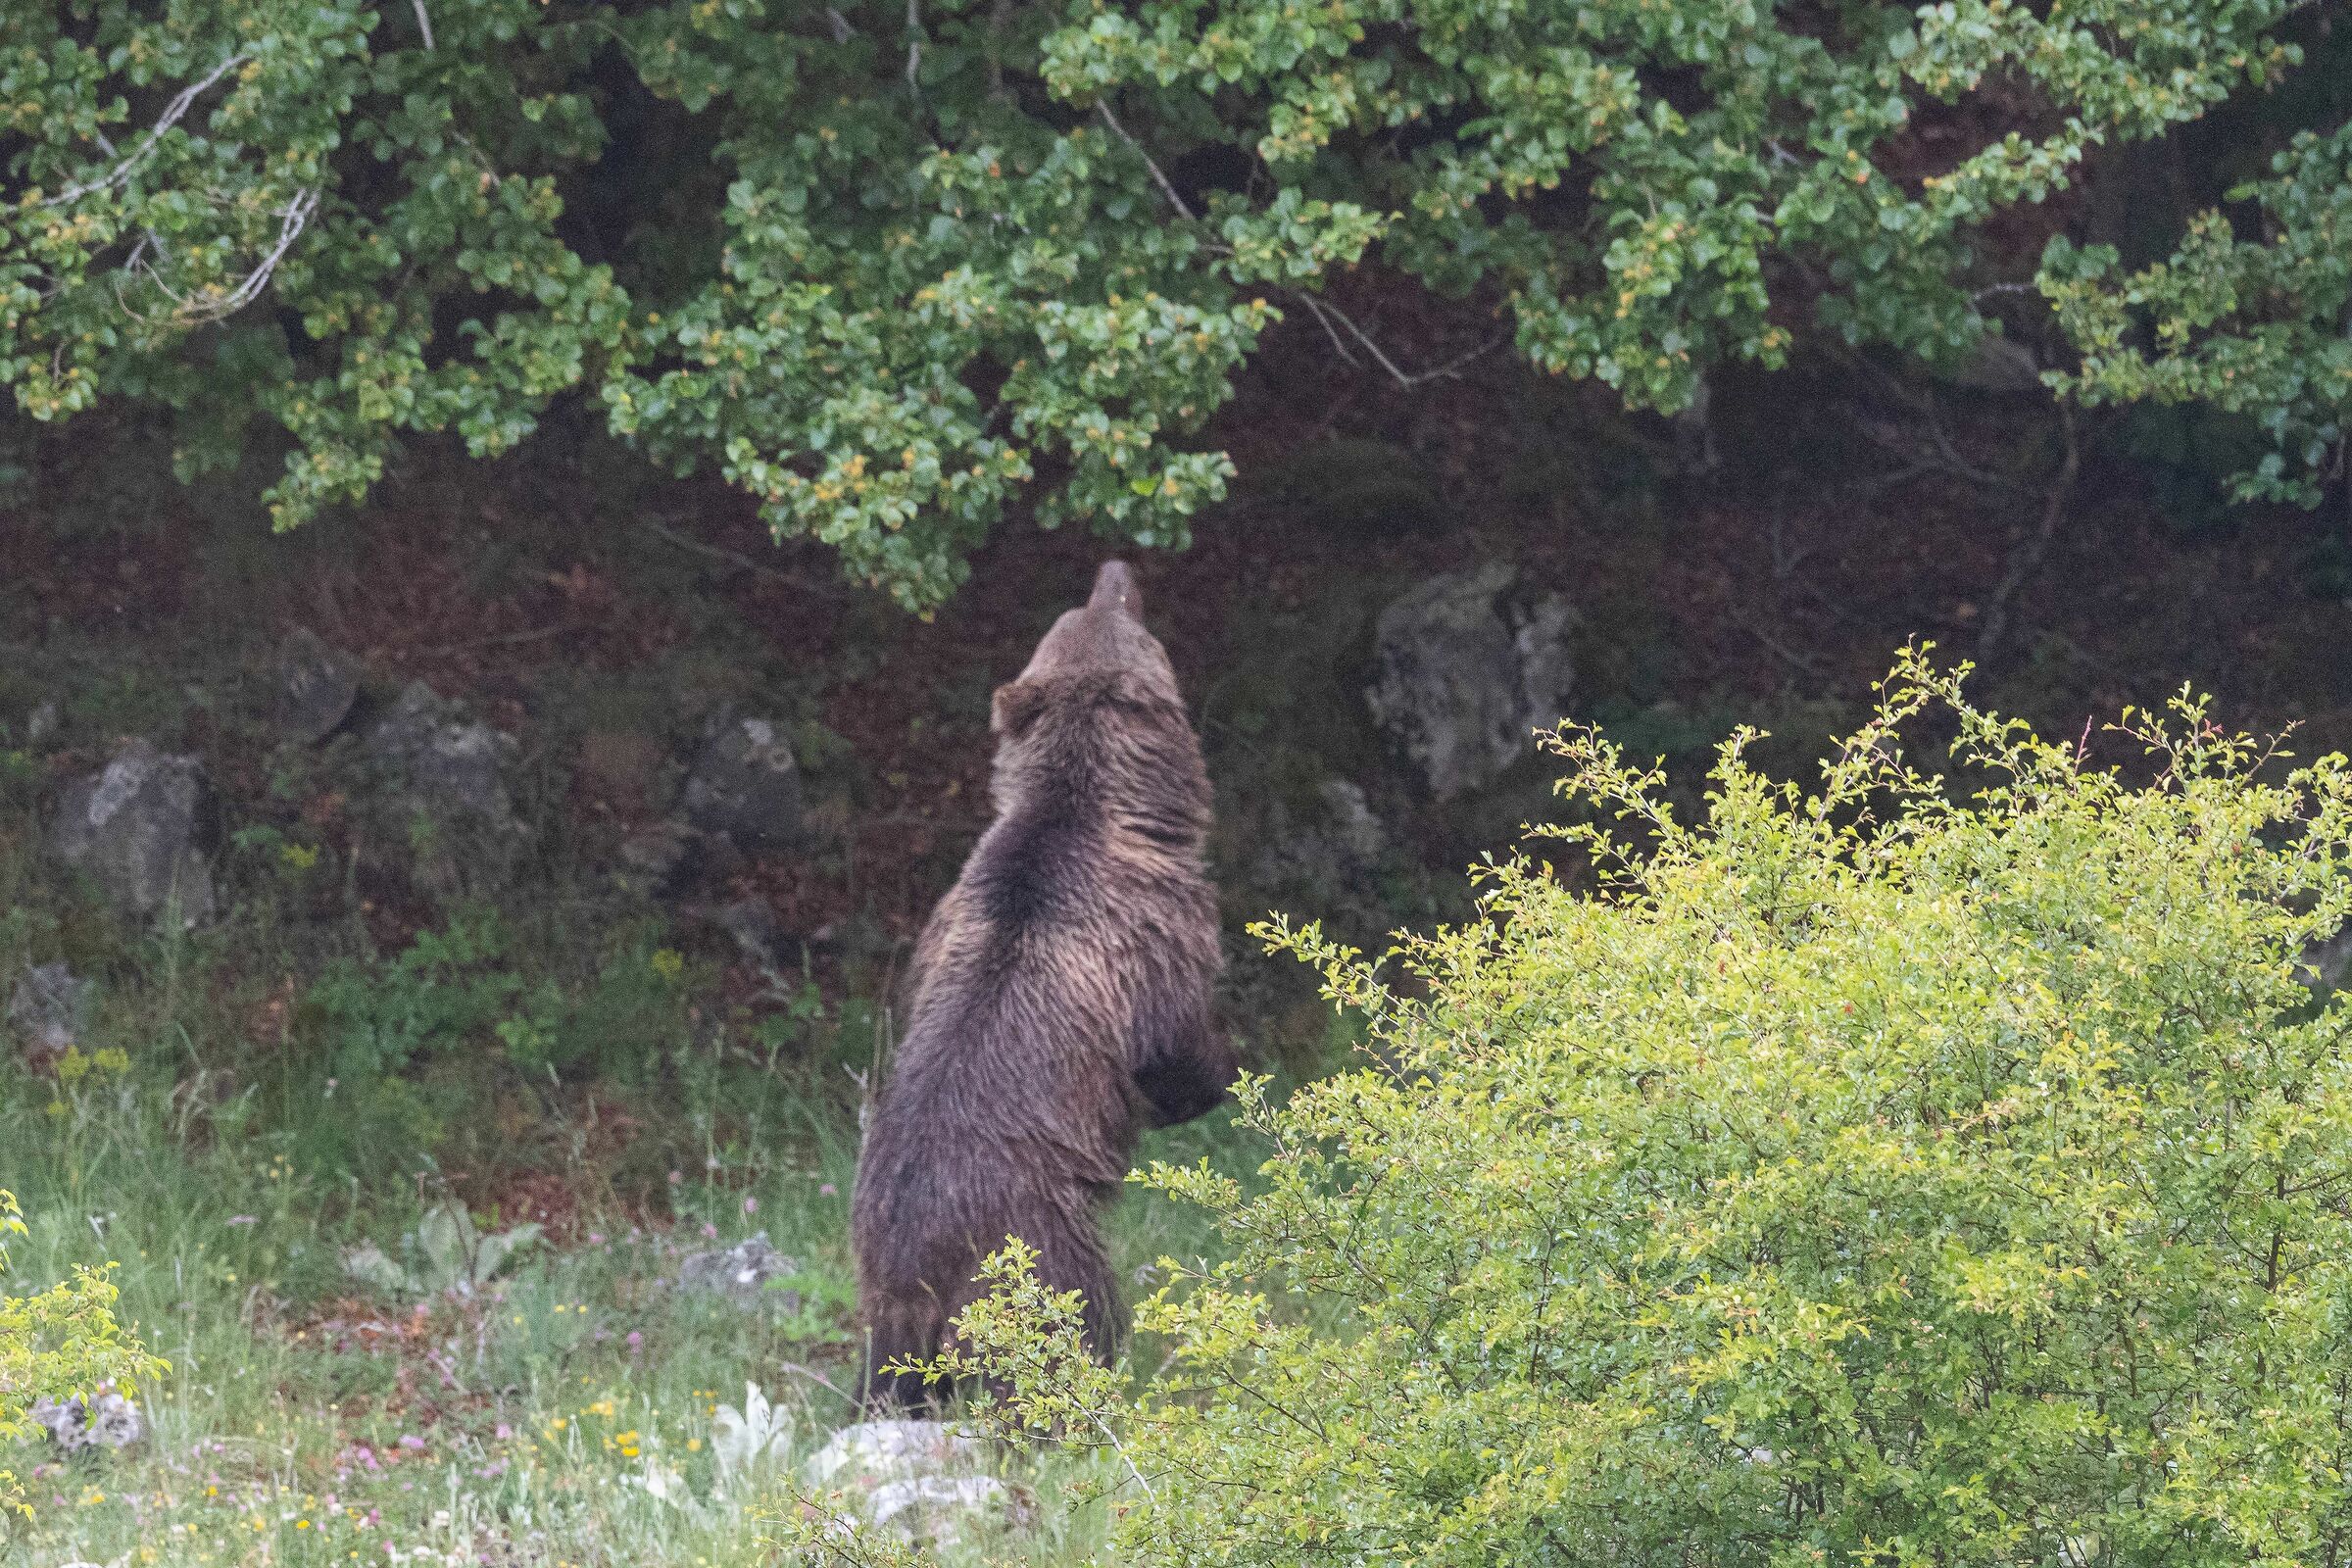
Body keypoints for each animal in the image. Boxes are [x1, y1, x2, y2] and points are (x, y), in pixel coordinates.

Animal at [851, 559, 1236, 1411]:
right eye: (1122, 612)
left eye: (1092, 604)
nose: (1115, 567)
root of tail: (912, 1273)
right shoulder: (1154, 935)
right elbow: (1178, 1040)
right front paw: (1211, 1081)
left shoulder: (943, 921)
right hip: (1036, 1240)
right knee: (1077, 1319)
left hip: (883, 1297)